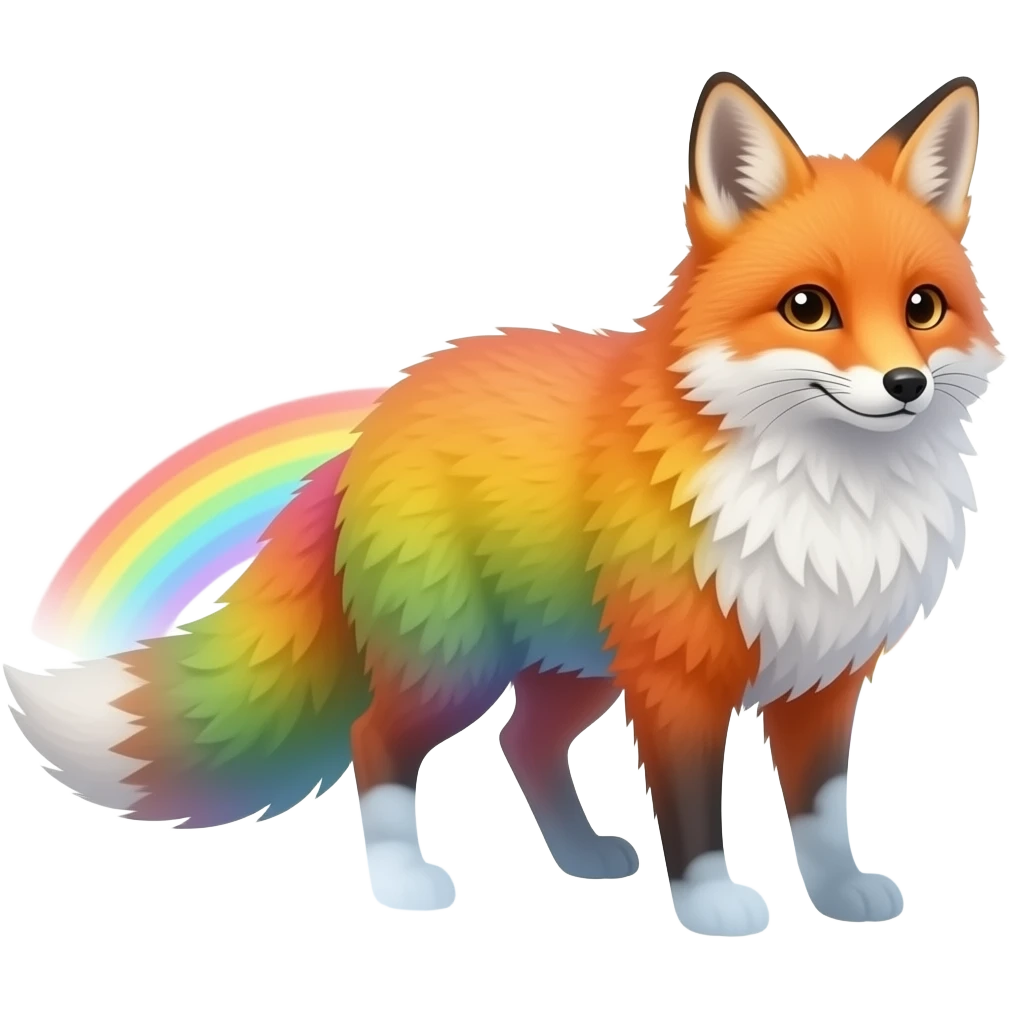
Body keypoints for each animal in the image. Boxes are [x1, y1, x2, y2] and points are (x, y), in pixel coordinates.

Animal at [5, 72, 1001, 936]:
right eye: (808, 307)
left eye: (922, 307)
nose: (905, 385)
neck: (824, 502)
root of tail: (380, 413)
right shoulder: (678, 681)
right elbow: (694, 815)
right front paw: (712, 907)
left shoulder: (824, 677)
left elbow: (822, 812)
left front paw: (840, 896)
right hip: (457, 660)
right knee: (377, 739)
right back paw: (402, 883)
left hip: (574, 664)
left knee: (521, 743)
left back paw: (578, 856)